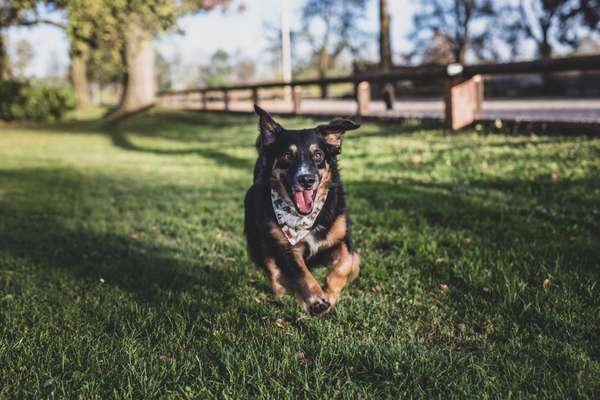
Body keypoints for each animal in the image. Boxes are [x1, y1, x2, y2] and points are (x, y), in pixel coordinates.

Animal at [245, 105, 360, 316]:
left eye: (318, 155)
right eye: (287, 155)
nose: (306, 179)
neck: (305, 220)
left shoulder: (343, 238)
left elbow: (347, 264)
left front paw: (330, 293)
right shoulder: (283, 246)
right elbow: (299, 272)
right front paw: (315, 300)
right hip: (258, 240)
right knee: (272, 270)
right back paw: (280, 292)